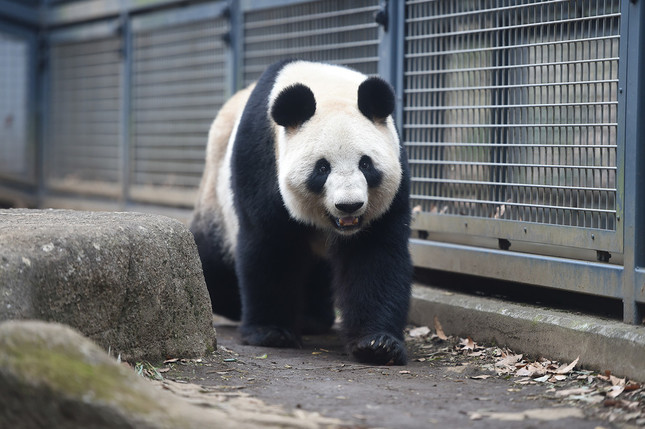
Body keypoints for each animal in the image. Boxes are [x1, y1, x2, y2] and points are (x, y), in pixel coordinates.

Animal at [191, 58, 412, 362]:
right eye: (322, 168)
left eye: (366, 164)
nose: (349, 205)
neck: (326, 86)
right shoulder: (261, 158)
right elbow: (271, 244)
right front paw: (270, 333)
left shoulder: (392, 184)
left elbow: (375, 255)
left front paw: (378, 344)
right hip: (216, 196)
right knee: (212, 262)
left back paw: (312, 319)